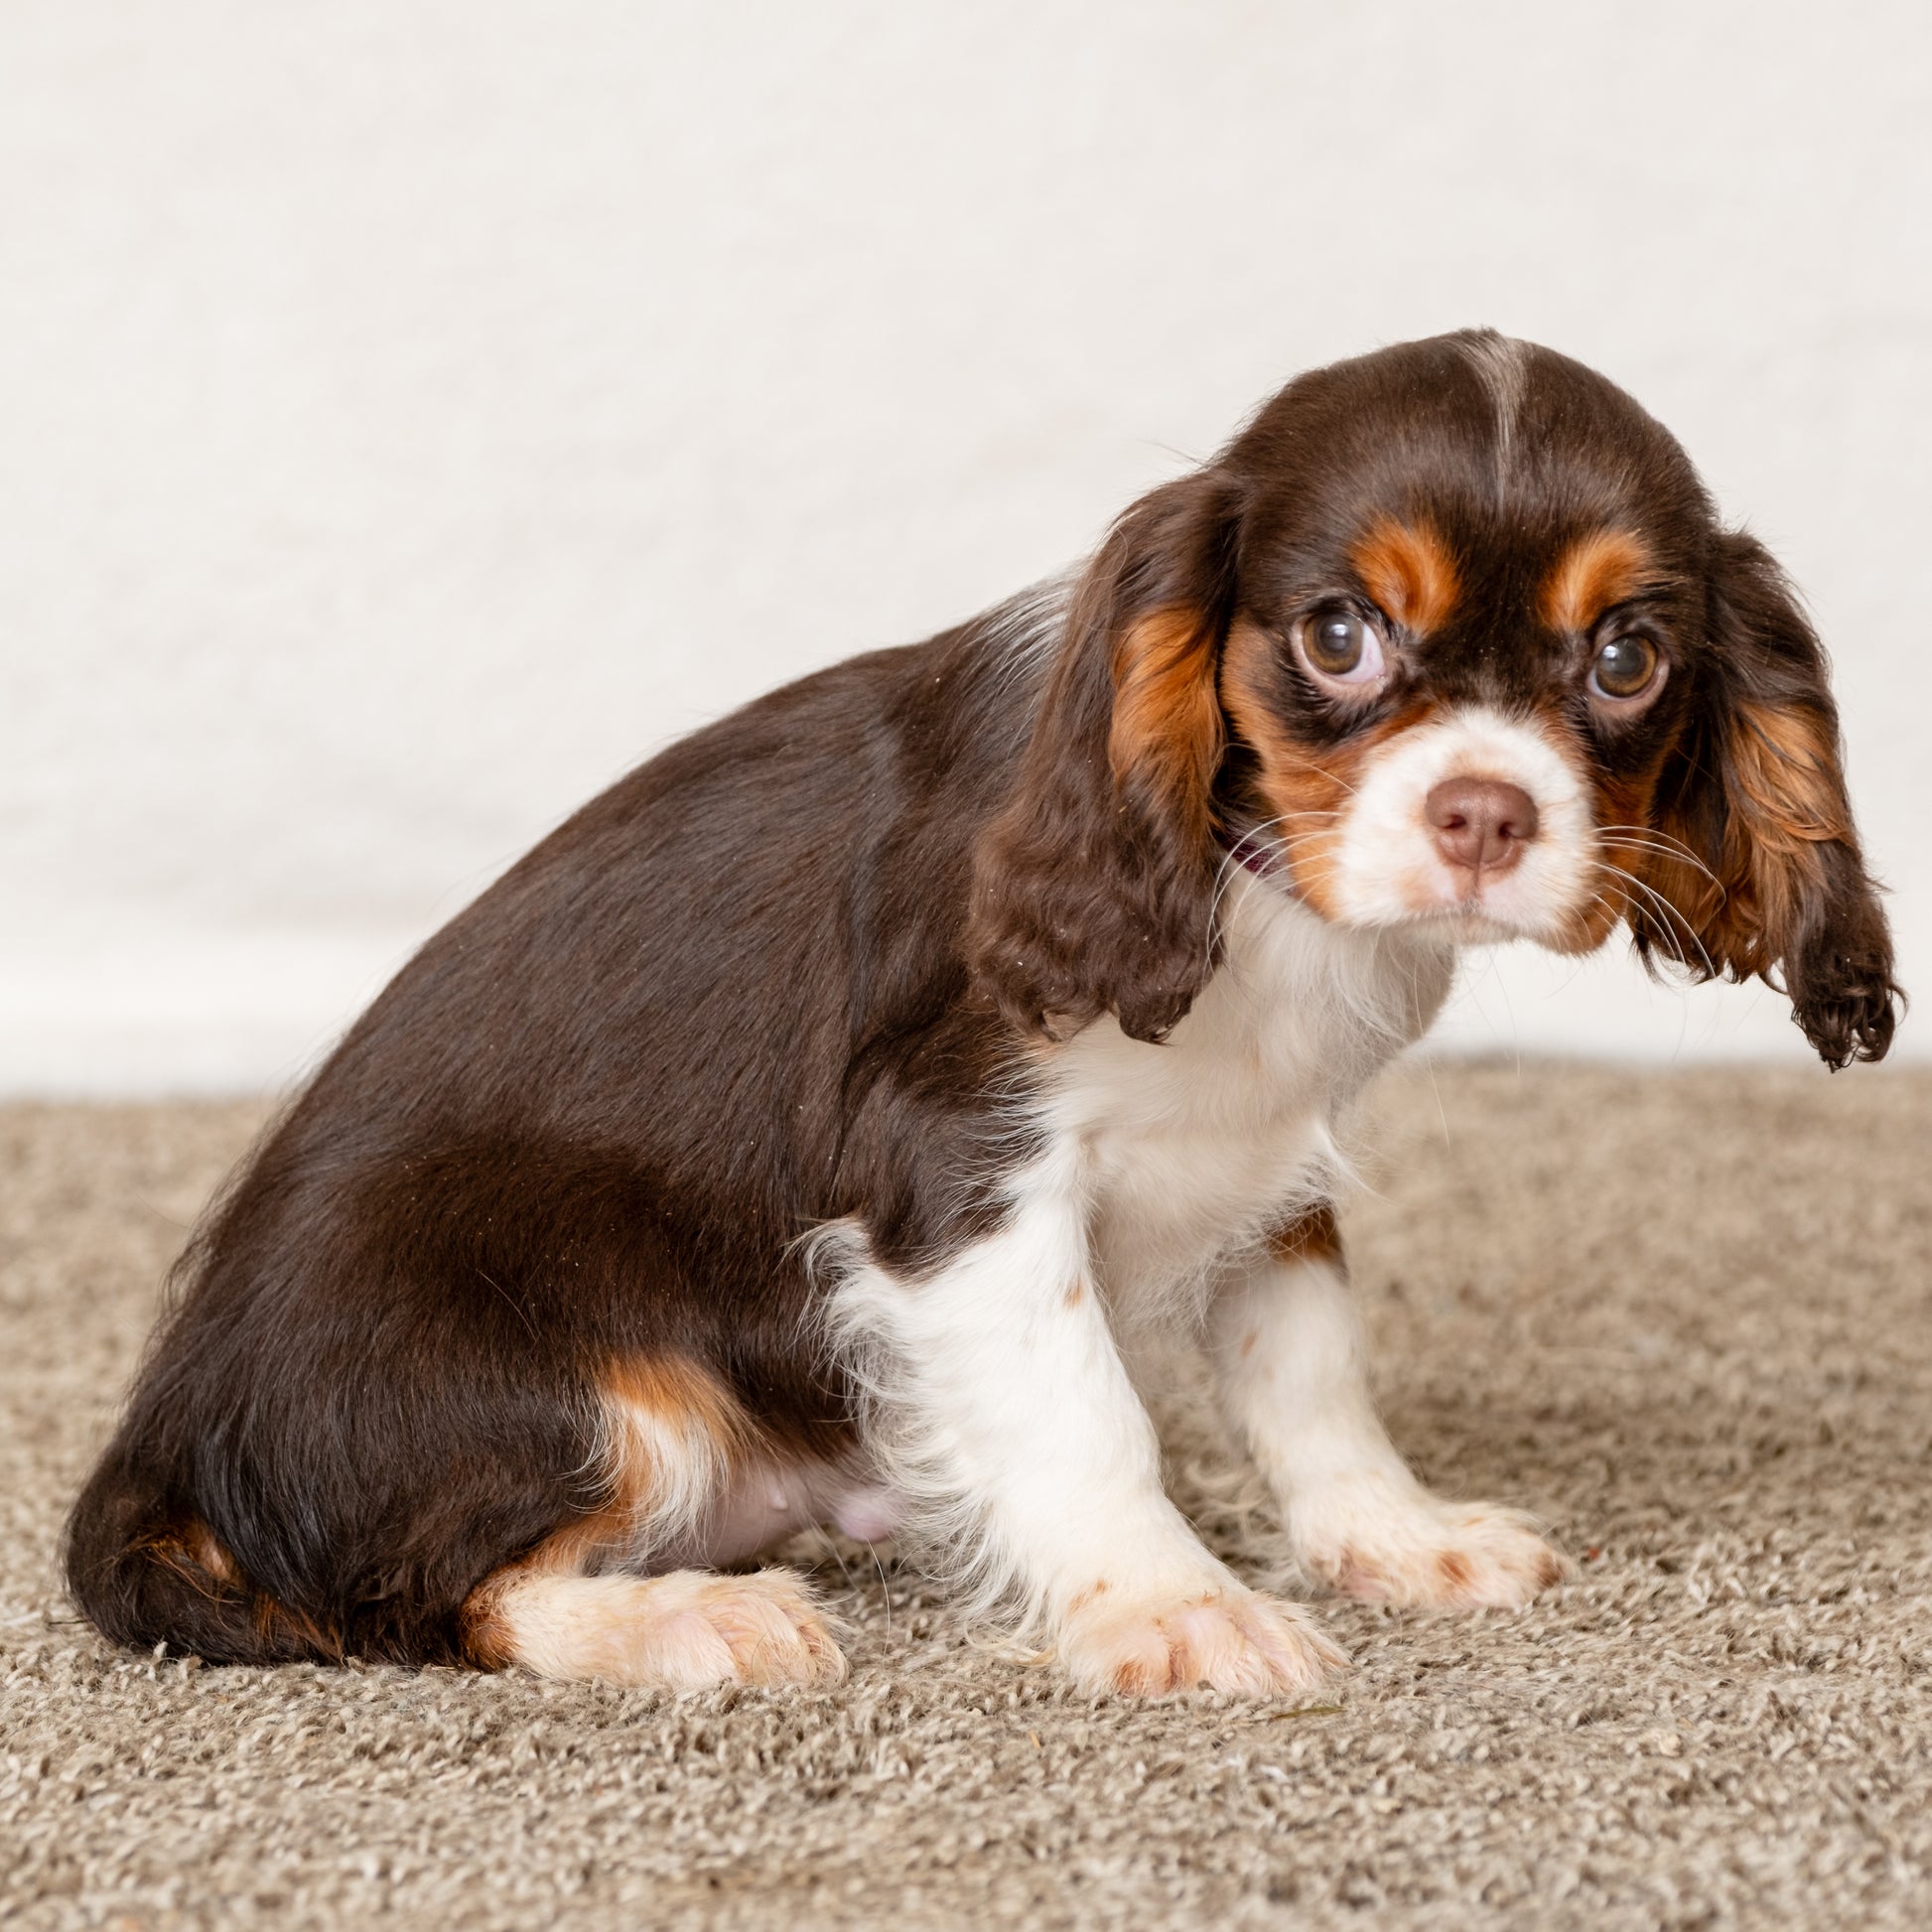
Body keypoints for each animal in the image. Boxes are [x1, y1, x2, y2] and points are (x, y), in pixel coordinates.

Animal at [68, 340, 1893, 1700]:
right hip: (578, 1366)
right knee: (428, 1595)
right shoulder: (958, 1168)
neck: (1249, 888)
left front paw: (1391, 1534)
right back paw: (682, 1618)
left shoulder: (1271, 1160)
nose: (1485, 815)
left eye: (1628, 657)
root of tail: (161, 1459)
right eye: (1337, 635)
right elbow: (1087, 1407)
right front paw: (1174, 1608)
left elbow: (1309, 1365)